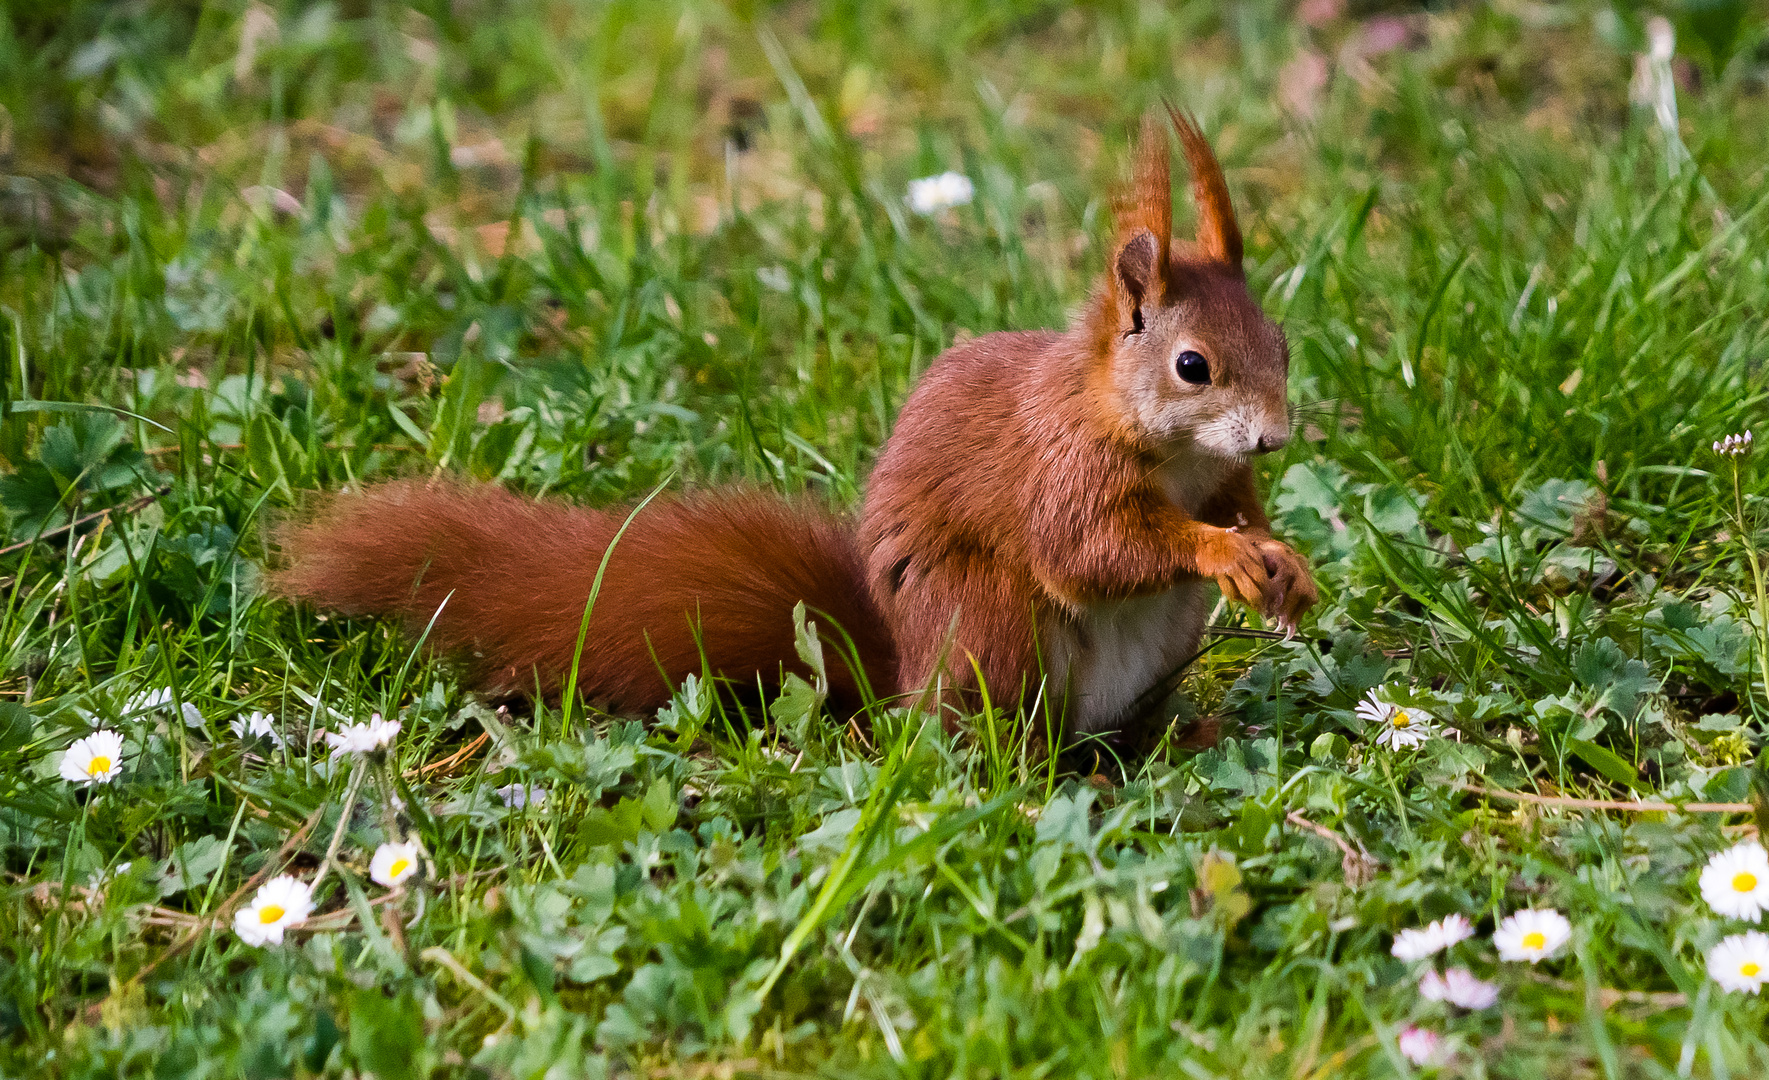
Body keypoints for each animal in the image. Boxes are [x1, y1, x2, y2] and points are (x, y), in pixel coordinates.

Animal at [272, 110, 1316, 735]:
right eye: (1191, 367)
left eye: (1281, 343)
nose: (1272, 437)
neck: (1169, 450)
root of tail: (902, 678)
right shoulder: (1062, 469)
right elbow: (1089, 547)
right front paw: (1220, 551)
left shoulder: (1218, 476)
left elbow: (1237, 510)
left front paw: (1282, 559)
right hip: (990, 624)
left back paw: (1175, 737)